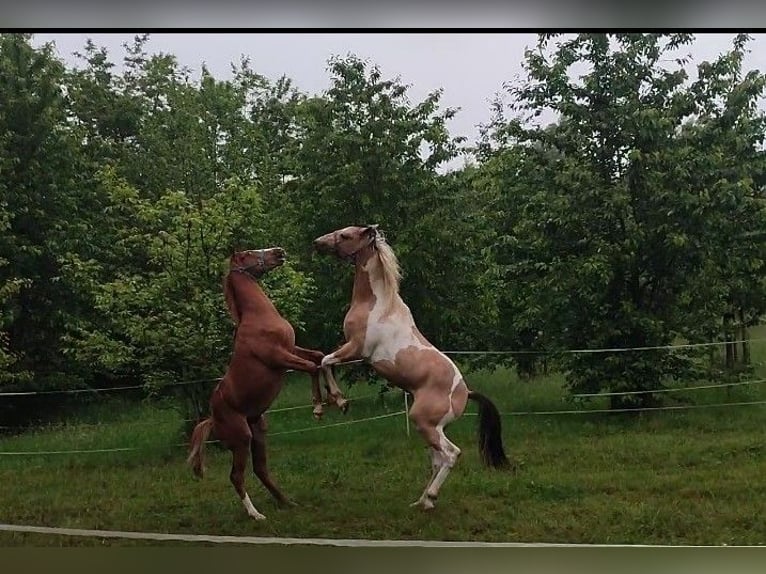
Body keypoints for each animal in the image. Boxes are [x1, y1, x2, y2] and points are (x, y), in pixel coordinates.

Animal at [188, 248, 348, 520]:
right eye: (248, 254)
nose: (279, 252)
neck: (259, 318)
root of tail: (212, 418)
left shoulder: (291, 348)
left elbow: (319, 357)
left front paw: (337, 399)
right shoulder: (279, 357)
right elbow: (312, 367)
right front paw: (318, 407)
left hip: (259, 433)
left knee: (261, 470)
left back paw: (287, 502)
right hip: (242, 439)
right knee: (237, 476)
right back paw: (256, 515)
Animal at [316, 227, 512, 510]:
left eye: (345, 236)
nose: (317, 243)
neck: (377, 305)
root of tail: (465, 392)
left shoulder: (356, 350)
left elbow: (325, 361)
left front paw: (340, 401)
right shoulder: (351, 350)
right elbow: (323, 360)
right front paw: (331, 402)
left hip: (424, 423)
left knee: (451, 454)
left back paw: (429, 498)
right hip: (432, 428)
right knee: (437, 460)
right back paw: (422, 501)